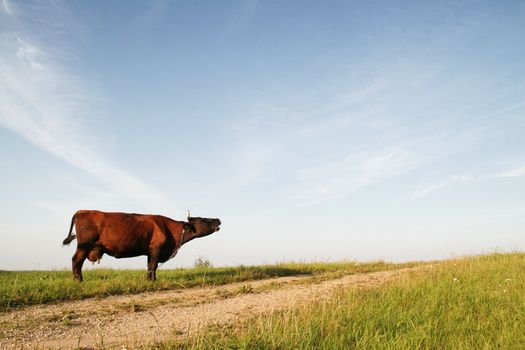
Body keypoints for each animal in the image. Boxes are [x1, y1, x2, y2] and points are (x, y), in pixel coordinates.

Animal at [62, 211, 221, 282]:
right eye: (204, 220)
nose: (218, 219)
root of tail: (82, 211)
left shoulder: (150, 252)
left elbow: (149, 266)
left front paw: (149, 279)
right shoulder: (156, 249)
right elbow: (153, 265)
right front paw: (152, 281)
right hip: (84, 246)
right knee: (76, 261)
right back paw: (78, 281)